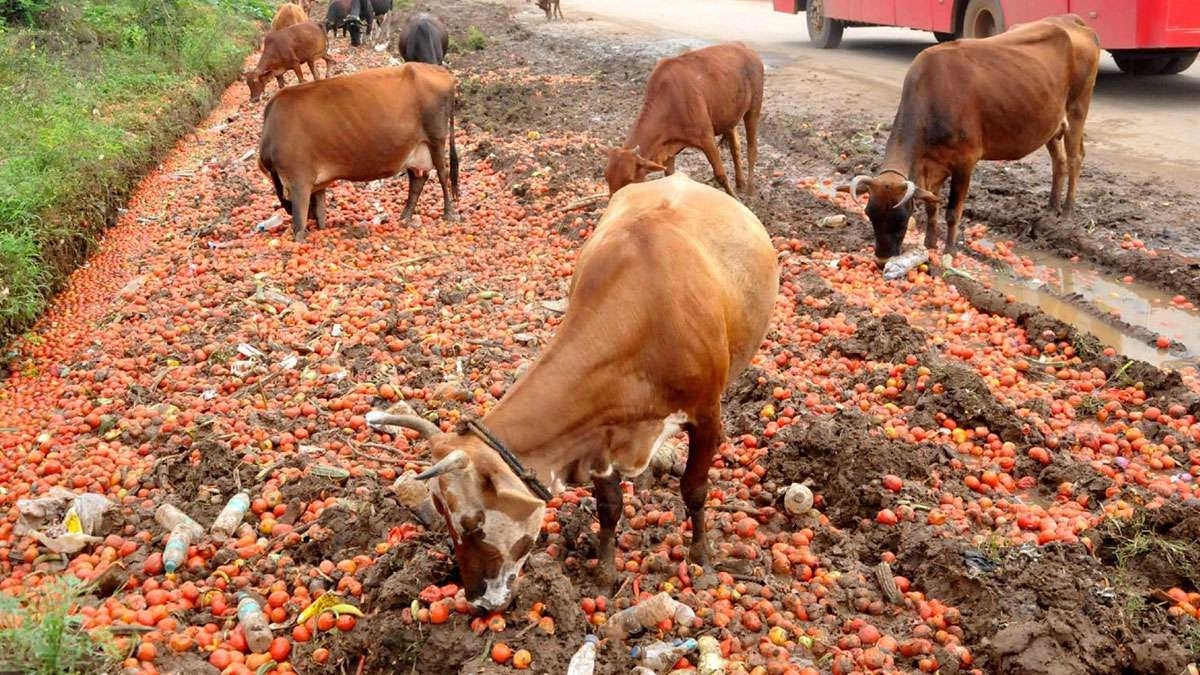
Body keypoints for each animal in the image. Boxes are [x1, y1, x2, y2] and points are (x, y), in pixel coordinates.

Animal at [257, 64, 460, 243]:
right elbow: (320, 209)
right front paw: (320, 226)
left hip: (436, 138)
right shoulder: (315, 181)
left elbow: (299, 218)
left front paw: (299, 236)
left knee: (443, 174)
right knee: (418, 179)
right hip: (415, 147)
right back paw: (405, 216)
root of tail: (443, 72)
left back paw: (449, 212)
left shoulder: (298, 177)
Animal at [365, 172, 780, 613]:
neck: (644, 319)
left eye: (472, 524)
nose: (477, 599)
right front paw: (605, 573)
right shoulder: (597, 433)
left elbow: (695, 488)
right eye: (441, 515)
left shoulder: (705, 414)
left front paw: (703, 559)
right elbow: (609, 506)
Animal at [605, 42, 764, 198]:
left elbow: (720, 175)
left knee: (752, 149)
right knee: (735, 147)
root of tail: (745, 48)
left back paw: (749, 191)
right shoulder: (668, 147)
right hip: (729, 117)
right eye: (607, 178)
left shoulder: (707, 139)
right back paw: (740, 183)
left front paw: (734, 199)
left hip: (753, 109)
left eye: (629, 180)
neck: (669, 99)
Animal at [843, 14, 1100, 262]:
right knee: (1059, 161)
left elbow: (952, 212)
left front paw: (950, 250)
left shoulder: (965, 162)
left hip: (1078, 108)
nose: (882, 260)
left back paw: (1066, 212)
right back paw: (1051, 209)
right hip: (1050, 124)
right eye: (869, 214)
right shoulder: (930, 166)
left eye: (901, 217)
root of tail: (1071, 20)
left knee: (1075, 159)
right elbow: (931, 206)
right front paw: (929, 243)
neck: (933, 99)